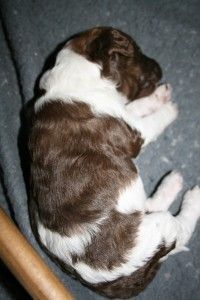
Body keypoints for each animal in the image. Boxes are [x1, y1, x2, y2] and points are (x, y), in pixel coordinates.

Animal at [28, 27, 200, 298]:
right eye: (136, 50)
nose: (160, 67)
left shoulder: (124, 111)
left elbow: (139, 105)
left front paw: (160, 95)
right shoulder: (134, 131)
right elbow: (155, 119)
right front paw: (170, 107)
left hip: (134, 208)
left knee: (149, 204)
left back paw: (171, 181)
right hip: (157, 231)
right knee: (180, 229)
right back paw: (193, 195)